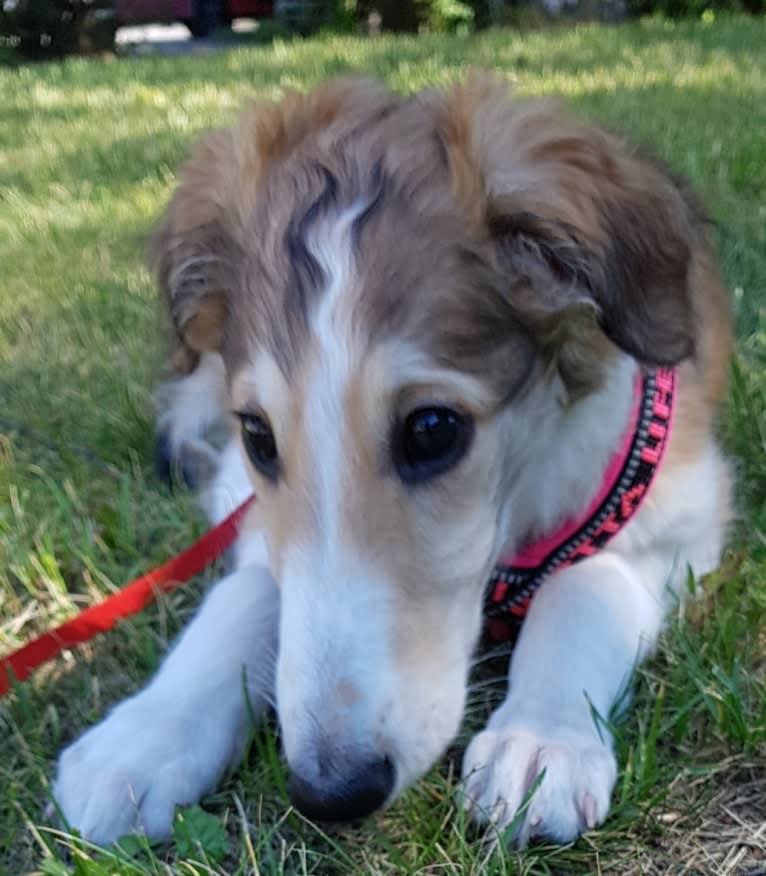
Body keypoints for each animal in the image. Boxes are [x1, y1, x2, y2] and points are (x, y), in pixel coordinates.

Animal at [51, 77, 736, 848]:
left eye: (432, 431)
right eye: (259, 434)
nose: (331, 791)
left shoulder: (684, 510)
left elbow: (587, 583)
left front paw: (540, 742)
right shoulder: (255, 505)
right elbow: (251, 590)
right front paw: (140, 740)